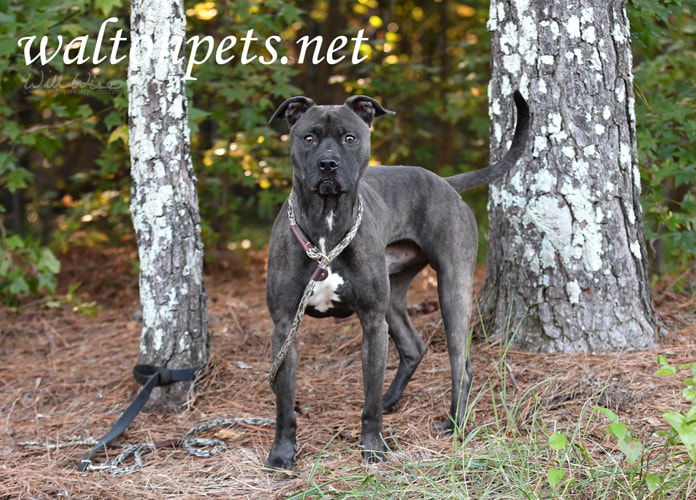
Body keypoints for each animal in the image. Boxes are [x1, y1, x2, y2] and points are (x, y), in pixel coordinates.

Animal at [266, 90, 528, 468]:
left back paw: (454, 423)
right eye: (309, 138)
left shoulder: (373, 324)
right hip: (394, 294)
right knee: (414, 347)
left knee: (461, 364)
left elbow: (369, 399)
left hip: (453, 289)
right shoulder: (285, 326)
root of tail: (447, 182)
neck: (326, 229)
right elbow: (285, 402)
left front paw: (373, 447)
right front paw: (282, 453)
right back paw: (394, 400)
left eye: (350, 138)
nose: (328, 165)